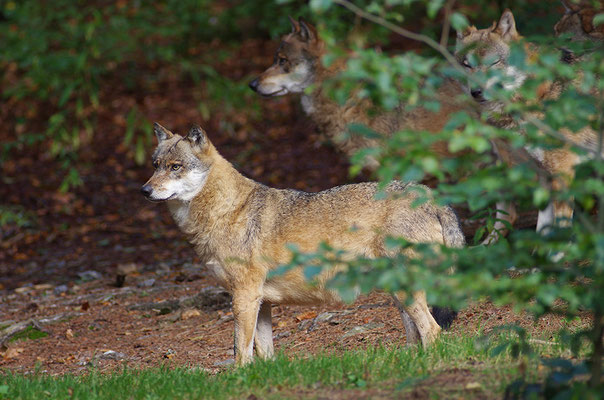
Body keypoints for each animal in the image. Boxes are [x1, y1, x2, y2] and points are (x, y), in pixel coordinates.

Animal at [143, 123, 468, 368]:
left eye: (175, 167)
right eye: (156, 166)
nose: (144, 190)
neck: (225, 211)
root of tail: (429, 194)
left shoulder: (245, 296)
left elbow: (240, 352)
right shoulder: (262, 303)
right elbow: (265, 354)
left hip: (406, 293)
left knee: (433, 331)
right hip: (398, 295)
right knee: (418, 336)